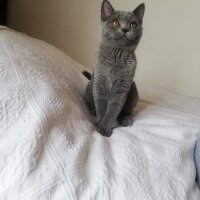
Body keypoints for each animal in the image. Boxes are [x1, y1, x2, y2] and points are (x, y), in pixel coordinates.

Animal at [82, 0, 145, 137]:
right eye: (115, 23)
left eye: (133, 24)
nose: (125, 29)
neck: (116, 55)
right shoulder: (99, 82)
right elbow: (101, 105)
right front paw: (99, 123)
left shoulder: (122, 86)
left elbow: (113, 108)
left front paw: (104, 128)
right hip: (90, 86)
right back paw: (93, 112)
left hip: (133, 89)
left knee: (126, 111)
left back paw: (126, 119)